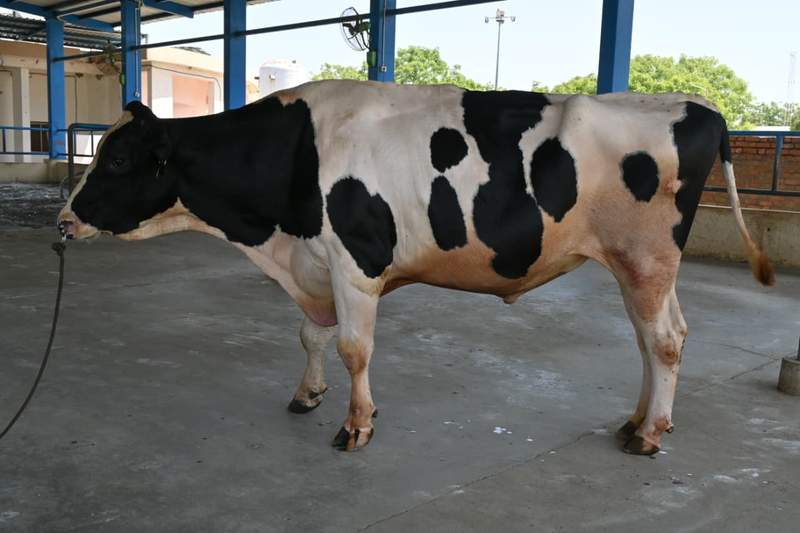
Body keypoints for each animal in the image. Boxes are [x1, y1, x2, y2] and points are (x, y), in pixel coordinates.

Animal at [57, 80, 774, 455]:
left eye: (116, 160)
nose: (62, 221)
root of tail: (697, 106)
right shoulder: (316, 263)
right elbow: (310, 334)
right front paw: (307, 394)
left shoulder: (354, 262)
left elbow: (353, 347)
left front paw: (356, 424)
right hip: (643, 266)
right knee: (658, 340)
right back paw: (639, 419)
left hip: (644, 257)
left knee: (663, 340)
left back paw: (649, 434)